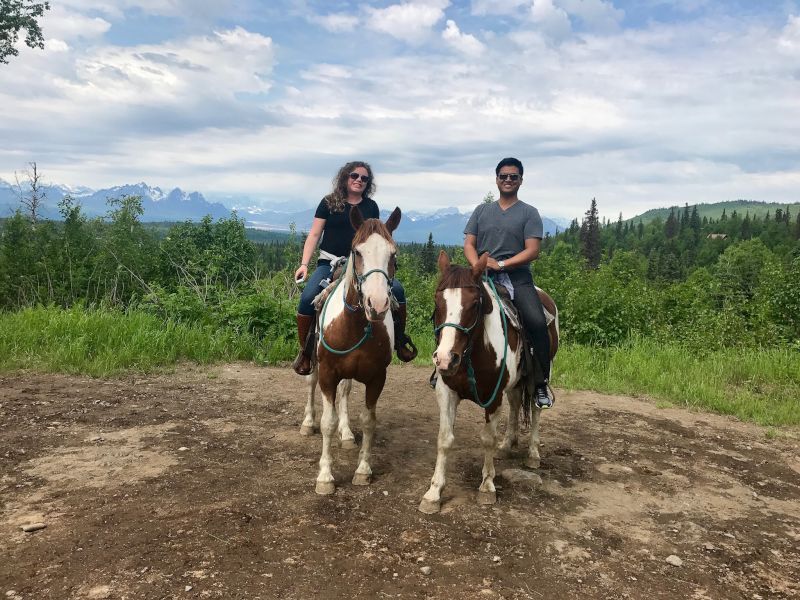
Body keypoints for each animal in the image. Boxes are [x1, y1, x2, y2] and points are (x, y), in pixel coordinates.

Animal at [310, 204, 404, 494]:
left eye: (393, 254)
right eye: (358, 251)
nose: (378, 303)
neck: (354, 324)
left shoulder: (376, 378)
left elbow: (368, 421)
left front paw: (363, 470)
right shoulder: (328, 374)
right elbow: (327, 423)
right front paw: (325, 477)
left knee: (345, 393)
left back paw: (347, 434)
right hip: (314, 364)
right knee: (310, 383)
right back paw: (307, 423)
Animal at [416, 251, 560, 512]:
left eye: (474, 304)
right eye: (438, 301)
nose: (445, 359)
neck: (473, 351)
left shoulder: (493, 397)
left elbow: (487, 439)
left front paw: (487, 486)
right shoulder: (447, 392)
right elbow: (445, 439)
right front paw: (433, 493)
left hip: (539, 376)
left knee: (535, 410)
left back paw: (533, 454)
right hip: (514, 384)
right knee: (515, 403)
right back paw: (507, 444)